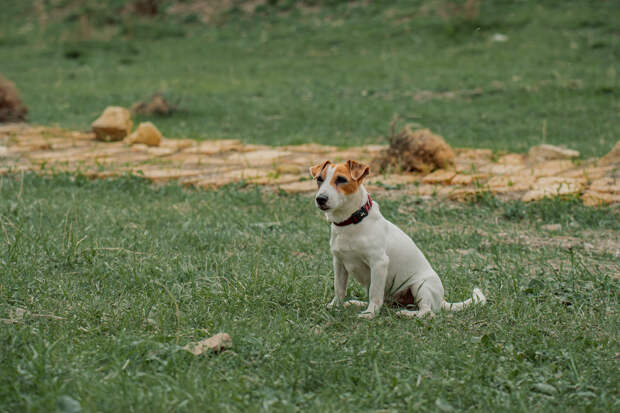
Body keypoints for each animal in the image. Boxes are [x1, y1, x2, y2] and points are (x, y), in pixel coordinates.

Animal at [310, 159, 484, 318]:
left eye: (341, 179)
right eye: (319, 179)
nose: (320, 199)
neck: (351, 222)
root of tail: (441, 301)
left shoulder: (379, 263)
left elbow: (374, 293)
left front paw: (370, 314)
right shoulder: (339, 263)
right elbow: (339, 288)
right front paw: (335, 306)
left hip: (420, 286)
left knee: (426, 312)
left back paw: (406, 313)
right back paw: (356, 303)